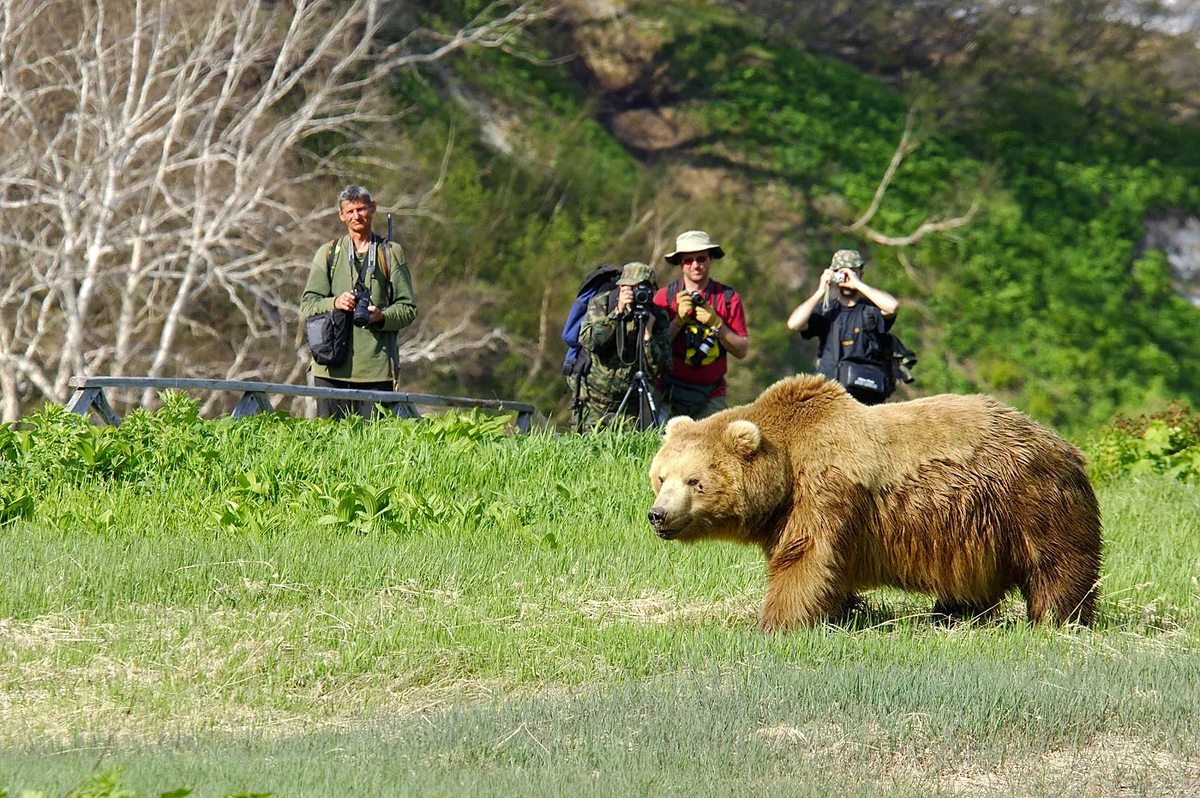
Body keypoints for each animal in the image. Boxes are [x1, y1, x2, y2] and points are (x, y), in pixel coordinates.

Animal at [652, 376, 1099, 633]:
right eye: (660, 477)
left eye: (695, 482)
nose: (658, 514)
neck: (786, 465)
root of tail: (1065, 444)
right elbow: (826, 569)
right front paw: (842, 611)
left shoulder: (826, 487)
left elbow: (806, 556)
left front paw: (778, 623)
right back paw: (953, 615)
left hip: (1029, 499)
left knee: (1056, 565)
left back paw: (1057, 620)